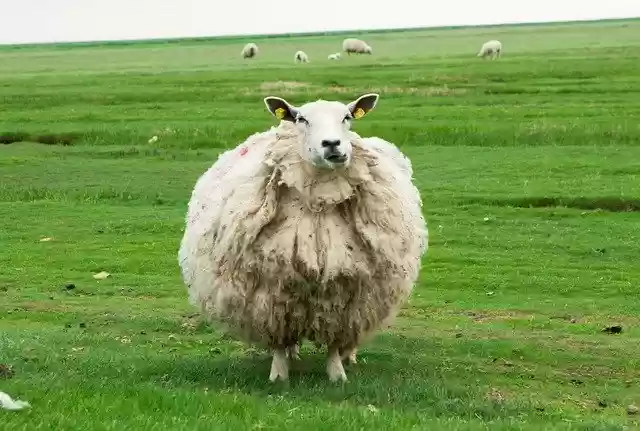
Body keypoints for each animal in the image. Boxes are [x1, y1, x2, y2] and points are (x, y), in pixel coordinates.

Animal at [178, 93, 428, 383]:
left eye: (347, 117)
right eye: (302, 119)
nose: (332, 144)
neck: (319, 199)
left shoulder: (344, 292)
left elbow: (335, 340)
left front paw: (337, 375)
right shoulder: (271, 291)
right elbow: (277, 338)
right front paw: (279, 375)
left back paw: (349, 355)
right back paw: (292, 353)